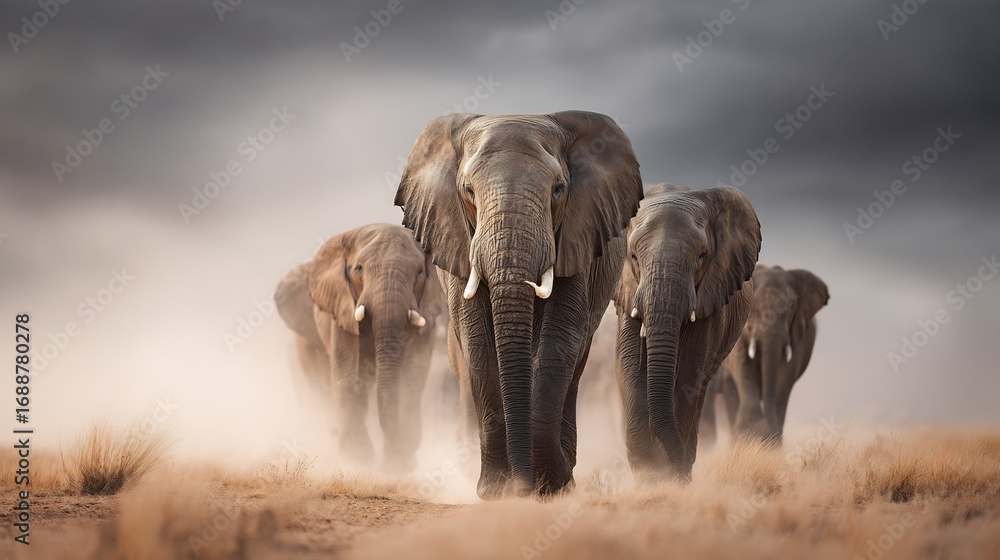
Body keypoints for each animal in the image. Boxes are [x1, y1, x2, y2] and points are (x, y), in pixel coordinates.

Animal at [274, 223, 446, 470]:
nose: (393, 461)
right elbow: (349, 376)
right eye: (358, 269)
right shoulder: (342, 309)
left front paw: (402, 460)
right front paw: (358, 461)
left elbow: (413, 376)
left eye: (419, 273)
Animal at [395, 111, 643, 498]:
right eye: (468, 190)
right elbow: (479, 345)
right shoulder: (459, 241)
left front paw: (551, 486)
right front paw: (497, 491)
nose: (524, 487)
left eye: (558, 189)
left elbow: (558, 343)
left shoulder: (577, 237)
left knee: (577, 359)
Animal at [613, 183, 761, 481]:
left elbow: (688, 375)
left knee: (700, 385)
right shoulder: (628, 290)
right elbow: (630, 367)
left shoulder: (711, 299)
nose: (675, 462)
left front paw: (670, 474)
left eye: (702, 256)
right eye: (633, 256)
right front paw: (650, 472)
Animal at [699, 264, 829, 445]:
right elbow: (743, 366)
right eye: (751, 308)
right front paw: (752, 434)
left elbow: (785, 375)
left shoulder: (797, 334)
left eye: (790, 310)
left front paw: (769, 441)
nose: (767, 431)